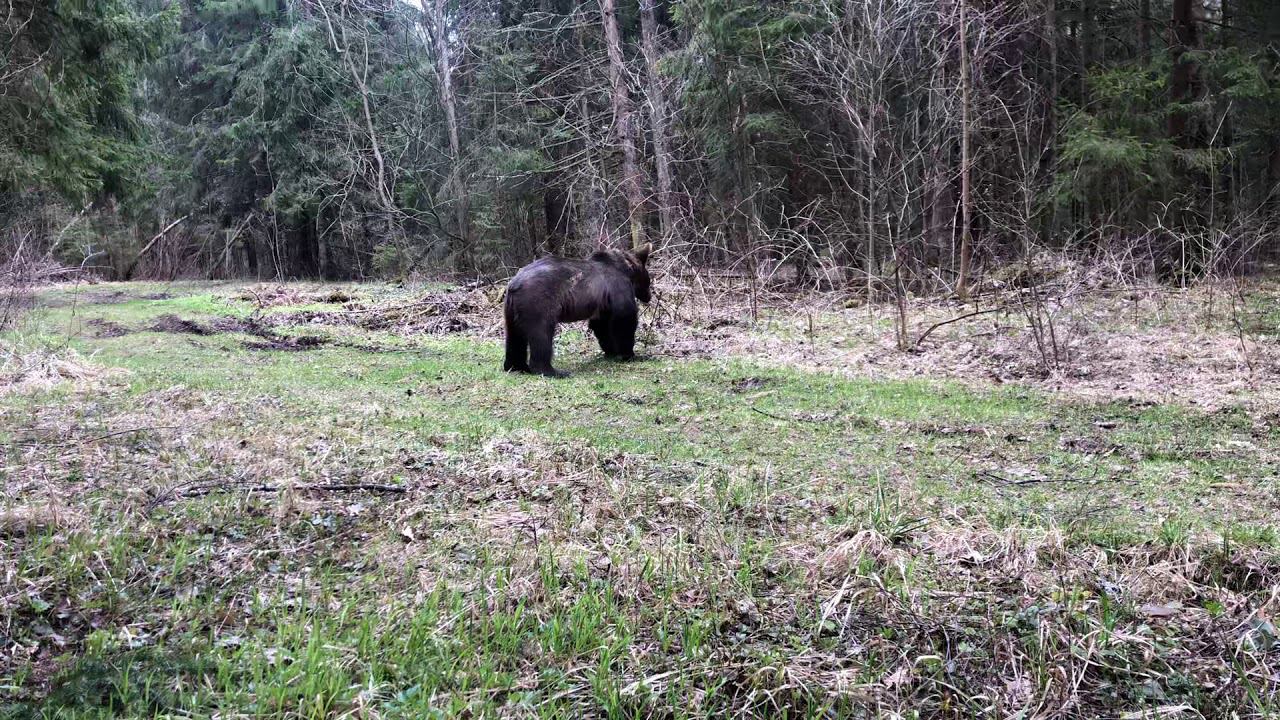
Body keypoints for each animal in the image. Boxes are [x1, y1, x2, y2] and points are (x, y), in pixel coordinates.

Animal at [501, 243, 655, 376]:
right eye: (648, 280)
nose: (649, 296)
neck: (627, 271)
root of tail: (514, 284)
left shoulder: (603, 303)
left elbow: (601, 325)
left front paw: (611, 352)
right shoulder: (617, 287)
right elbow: (625, 319)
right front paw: (631, 354)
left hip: (511, 310)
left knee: (514, 336)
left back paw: (516, 367)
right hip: (538, 302)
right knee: (541, 334)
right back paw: (553, 371)